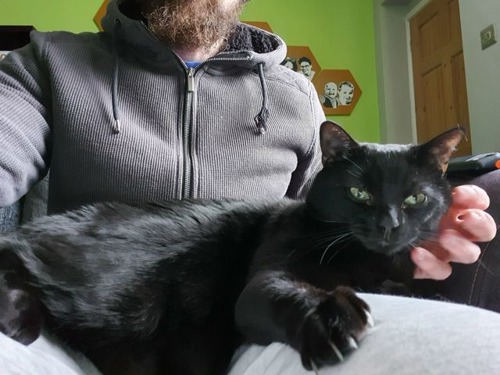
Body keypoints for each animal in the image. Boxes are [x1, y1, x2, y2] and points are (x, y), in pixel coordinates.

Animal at [0, 122, 464, 374]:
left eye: (415, 198)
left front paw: (426, 292)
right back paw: (15, 314)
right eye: (359, 194)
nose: (389, 225)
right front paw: (330, 317)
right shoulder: (264, 280)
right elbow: (291, 290)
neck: (364, 259)